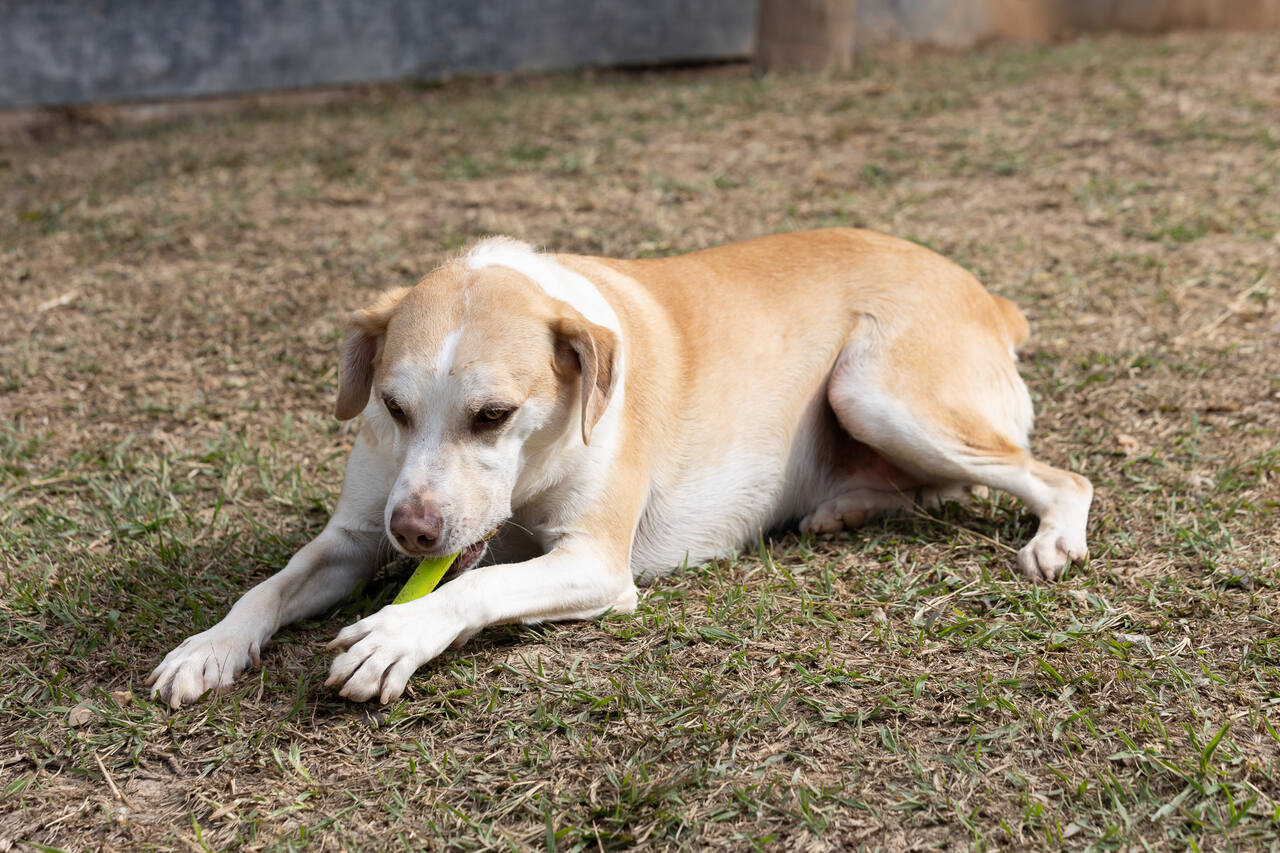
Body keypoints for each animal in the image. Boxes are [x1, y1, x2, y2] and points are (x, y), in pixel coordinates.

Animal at [147, 227, 1090, 701]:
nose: (412, 533)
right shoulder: (353, 533)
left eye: (493, 416)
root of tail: (982, 290)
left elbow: (474, 587)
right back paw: (843, 507)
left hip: (874, 391)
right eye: (392, 406)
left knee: (1055, 476)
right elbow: (267, 586)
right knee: (933, 486)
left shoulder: (594, 562)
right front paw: (207, 647)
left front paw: (396, 634)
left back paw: (1052, 538)